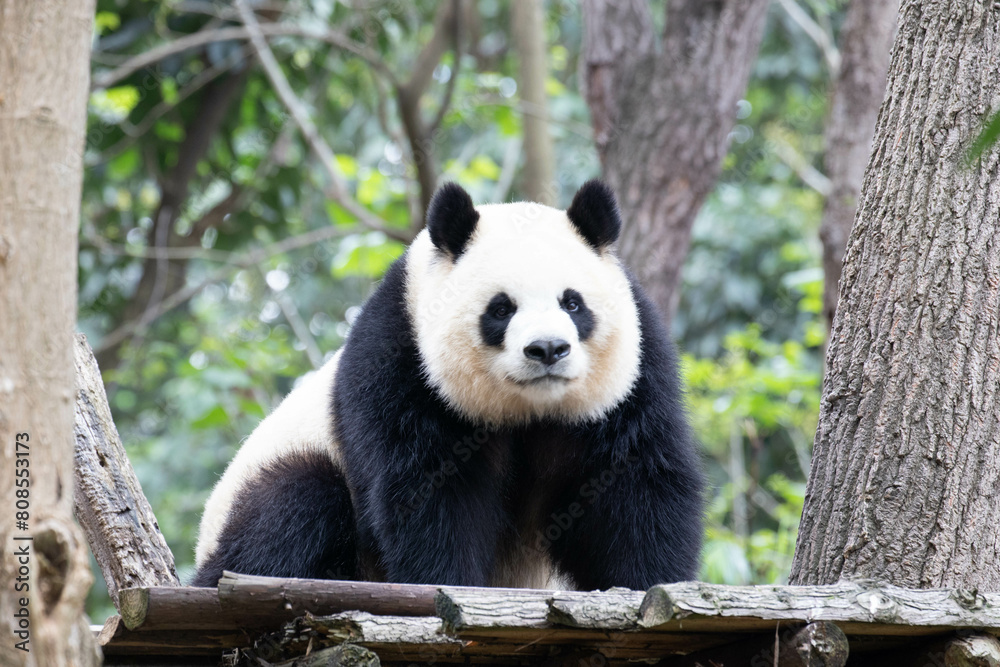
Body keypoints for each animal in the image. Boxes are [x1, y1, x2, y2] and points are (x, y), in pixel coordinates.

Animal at [193, 180, 703, 590]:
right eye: (501, 308)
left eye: (572, 303)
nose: (547, 349)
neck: (529, 410)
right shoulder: (402, 365)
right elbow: (429, 492)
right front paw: (445, 579)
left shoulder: (636, 376)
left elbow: (635, 485)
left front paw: (648, 582)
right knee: (293, 505)